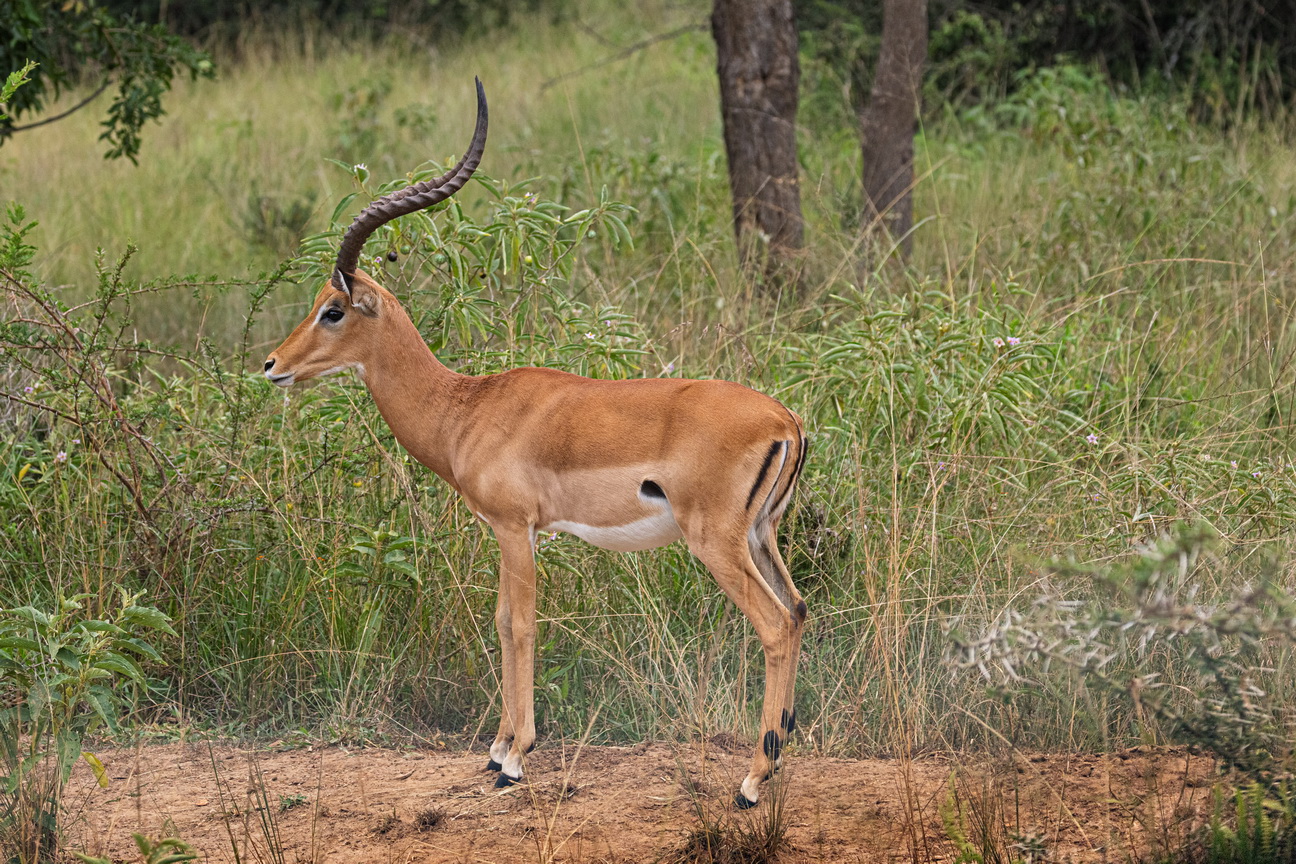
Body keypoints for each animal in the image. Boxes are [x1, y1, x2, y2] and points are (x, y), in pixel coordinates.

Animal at [264, 79, 808, 809]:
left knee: (774, 625)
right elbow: (500, 619)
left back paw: (750, 782)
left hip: (716, 542)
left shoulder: (513, 526)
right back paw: (773, 763)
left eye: (332, 308)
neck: (466, 406)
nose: (272, 364)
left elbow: (517, 623)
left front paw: (515, 760)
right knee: (797, 612)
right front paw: (496, 749)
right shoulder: (513, 531)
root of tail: (785, 421)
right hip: (760, 536)